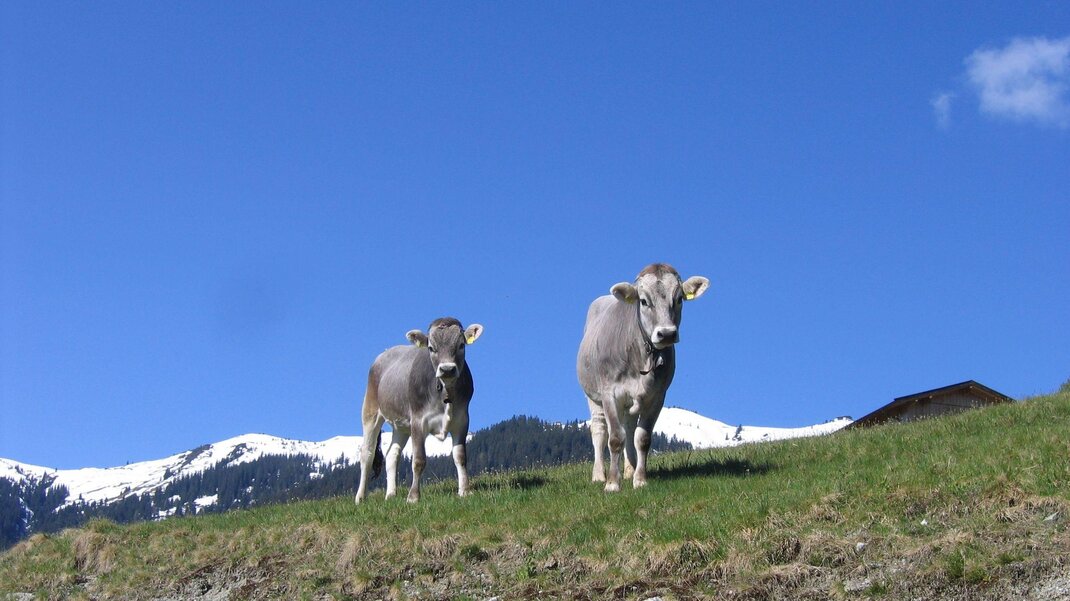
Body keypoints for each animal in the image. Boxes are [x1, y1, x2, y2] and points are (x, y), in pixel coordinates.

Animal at [355, 317, 484, 503]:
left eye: (461, 345)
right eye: (431, 347)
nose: (447, 369)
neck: (445, 392)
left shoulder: (462, 420)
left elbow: (460, 456)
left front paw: (465, 491)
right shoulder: (418, 421)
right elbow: (418, 460)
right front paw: (413, 497)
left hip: (401, 425)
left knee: (392, 454)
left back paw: (391, 494)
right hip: (370, 411)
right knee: (367, 453)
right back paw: (360, 497)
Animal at [577, 263, 709, 492]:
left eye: (679, 299)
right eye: (644, 301)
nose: (666, 334)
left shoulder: (657, 396)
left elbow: (642, 437)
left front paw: (640, 479)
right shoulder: (609, 393)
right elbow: (615, 438)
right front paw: (612, 483)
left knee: (629, 428)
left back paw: (629, 469)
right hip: (593, 396)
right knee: (599, 430)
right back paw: (599, 475)